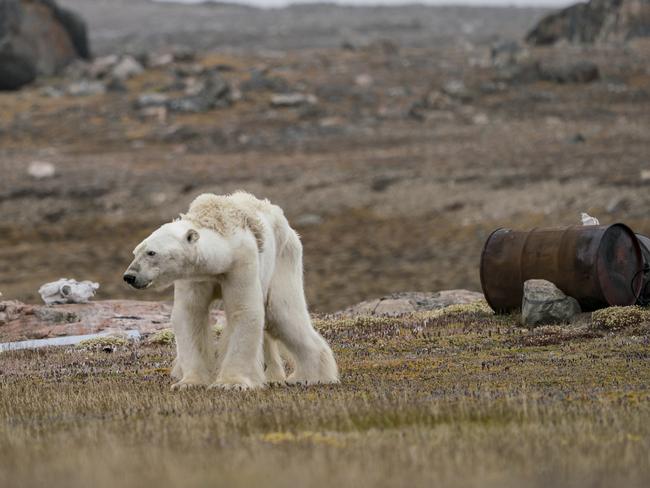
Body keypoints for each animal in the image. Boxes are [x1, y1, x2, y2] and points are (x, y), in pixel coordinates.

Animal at [121, 191, 340, 388]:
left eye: (151, 252)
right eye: (135, 252)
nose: (129, 276)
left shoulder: (241, 263)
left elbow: (243, 310)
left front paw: (230, 383)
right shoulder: (195, 276)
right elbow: (190, 314)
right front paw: (189, 382)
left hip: (284, 258)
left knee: (281, 313)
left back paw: (310, 377)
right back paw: (272, 376)